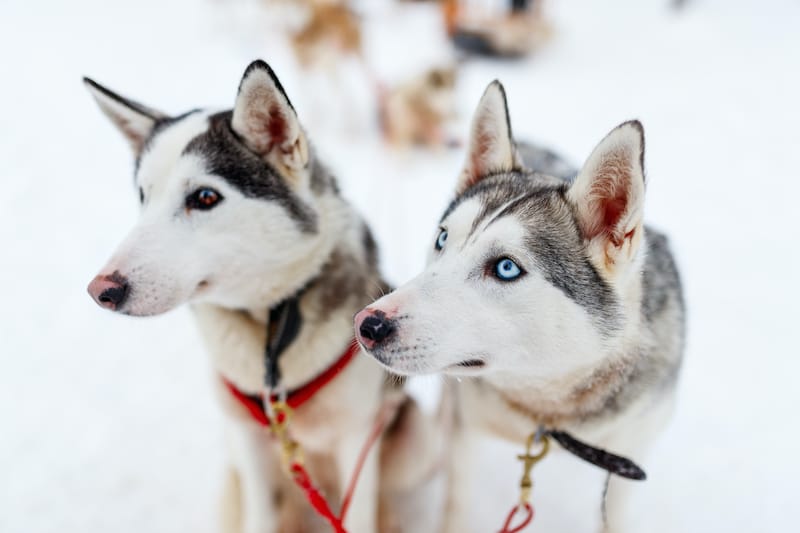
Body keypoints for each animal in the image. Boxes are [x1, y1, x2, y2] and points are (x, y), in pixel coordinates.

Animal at [86, 60, 444, 532]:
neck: (273, 325)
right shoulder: (249, 443)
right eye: (144, 197)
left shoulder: (356, 437)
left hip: (416, 441)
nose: (101, 290)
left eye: (205, 197)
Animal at [354, 81, 684, 528]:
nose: (368, 325)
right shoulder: (465, 431)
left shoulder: (629, 454)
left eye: (506, 267)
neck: (544, 409)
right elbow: (456, 502)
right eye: (443, 238)